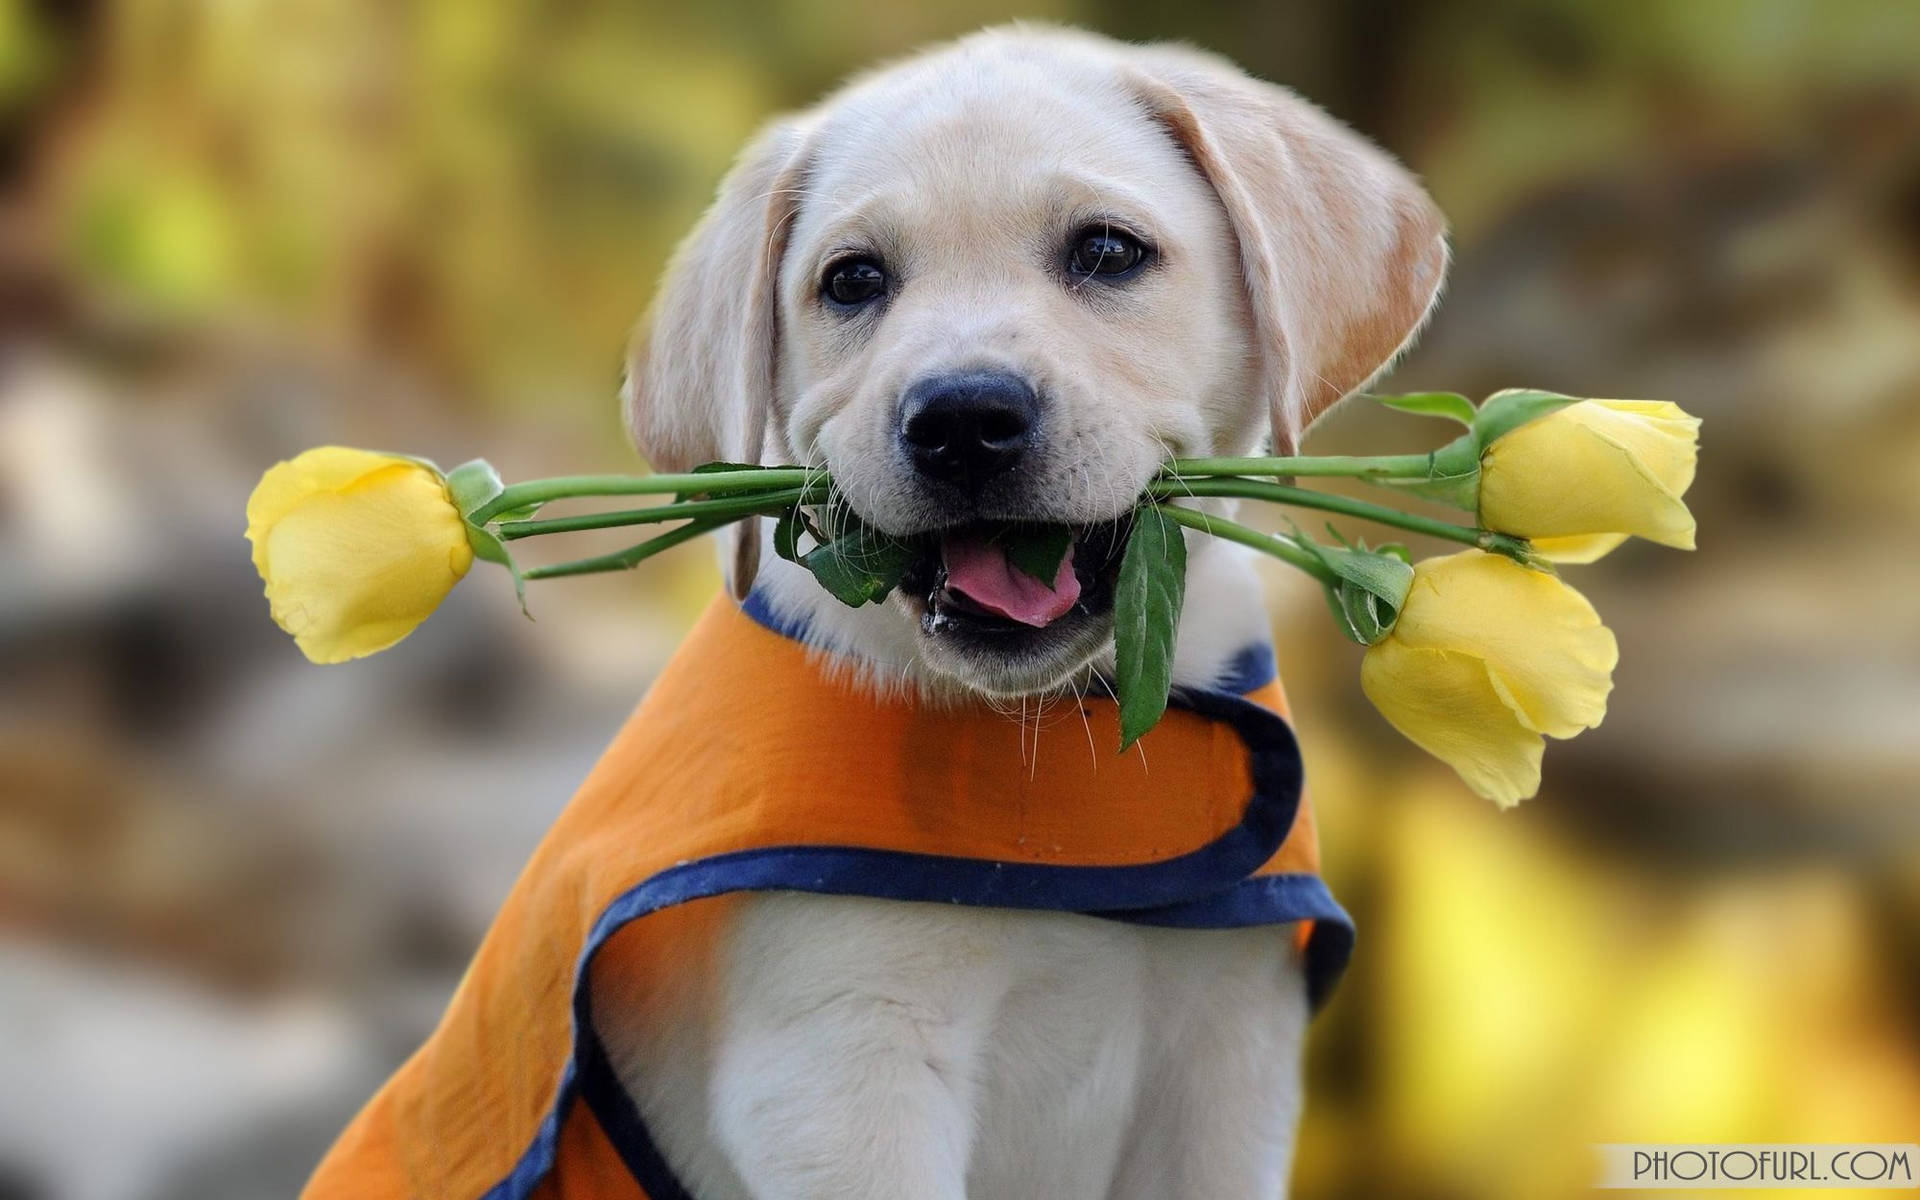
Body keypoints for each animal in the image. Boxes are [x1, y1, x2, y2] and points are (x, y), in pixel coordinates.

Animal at [610, 21, 1443, 1198]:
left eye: (1107, 253)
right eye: (852, 281)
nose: (962, 418)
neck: (1052, 739)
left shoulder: (1229, 1061)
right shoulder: (840, 1073)